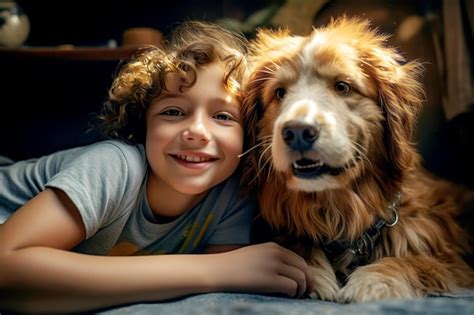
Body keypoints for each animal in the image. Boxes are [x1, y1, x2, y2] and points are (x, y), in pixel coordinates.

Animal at [243, 17, 472, 304]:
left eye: (342, 87)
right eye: (279, 93)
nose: (298, 131)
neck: (338, 210)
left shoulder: (447, 256)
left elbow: (412, 261)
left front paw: (375, 280)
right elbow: (296, 243)